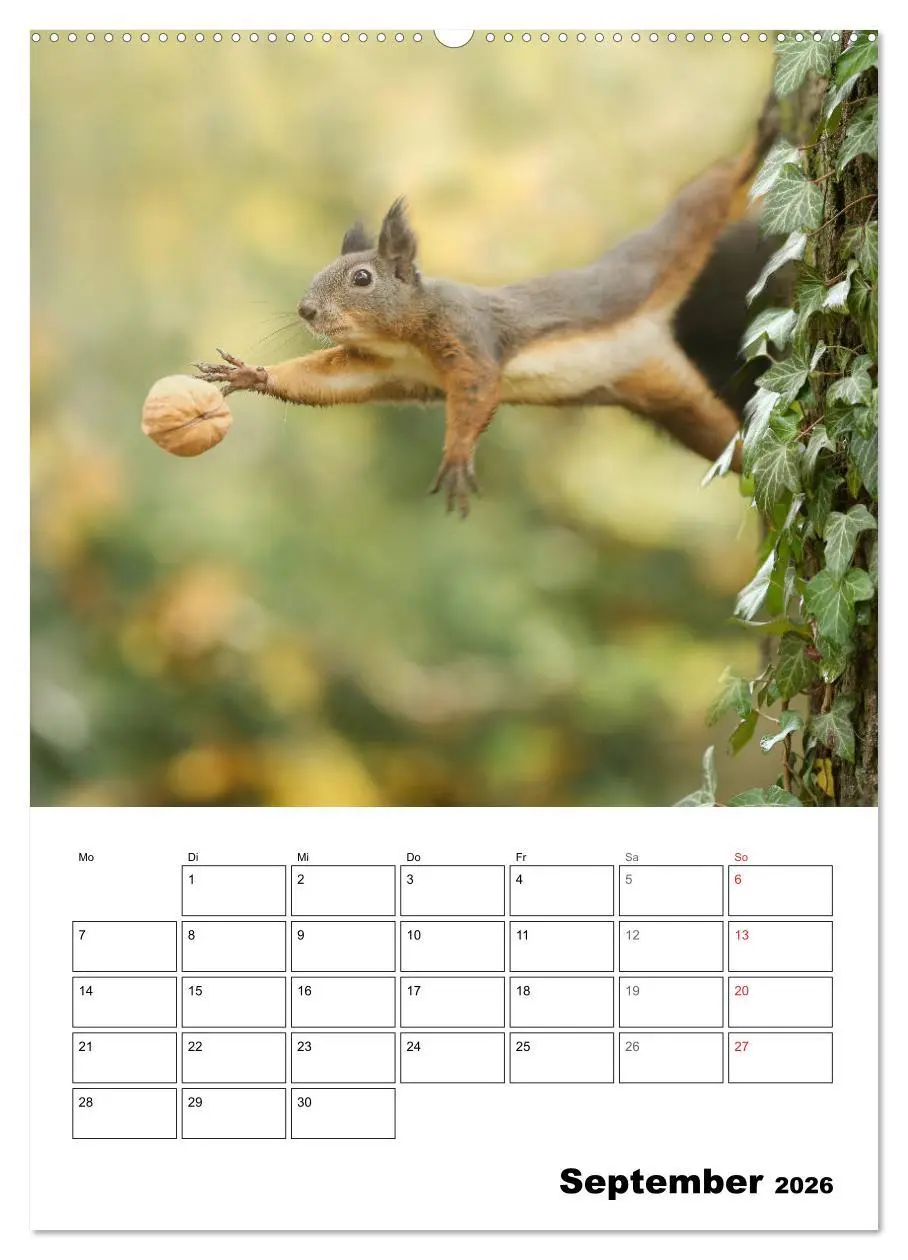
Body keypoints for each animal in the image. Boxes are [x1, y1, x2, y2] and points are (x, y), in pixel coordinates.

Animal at [196, 96, 778, 517]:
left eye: (362, 278)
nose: (305, 311)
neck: (402, 336)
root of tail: (655, 333)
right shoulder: (377, 366)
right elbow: (325, 380)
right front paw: (251, 374)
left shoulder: (467, 335)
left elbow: (477, 387)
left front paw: (456, 457)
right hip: (675, 403)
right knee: (728, 444)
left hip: (666, 247)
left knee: (713, 192)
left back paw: (762, 138)